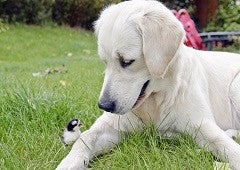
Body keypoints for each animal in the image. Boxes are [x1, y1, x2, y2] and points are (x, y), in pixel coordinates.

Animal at [56, 0, 240, 169]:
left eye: (126, 61)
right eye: (104, 62)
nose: (104, 105)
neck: (156, 100)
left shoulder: (201, 125)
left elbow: (229, 148)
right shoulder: (112, 126)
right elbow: (84, 138)